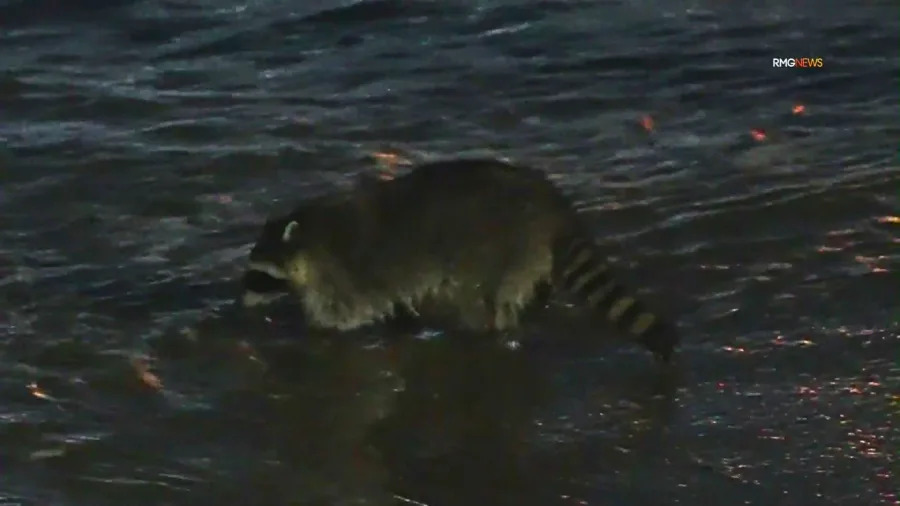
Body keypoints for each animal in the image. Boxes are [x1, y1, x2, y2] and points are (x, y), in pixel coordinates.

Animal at [241, 158, 679, 362]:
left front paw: (312, 331)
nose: (239, 304)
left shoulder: (343, 272)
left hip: (502, 248)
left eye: (258, 277)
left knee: (487, 300)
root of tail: (552, 204)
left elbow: (342, 314)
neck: (309, 236)